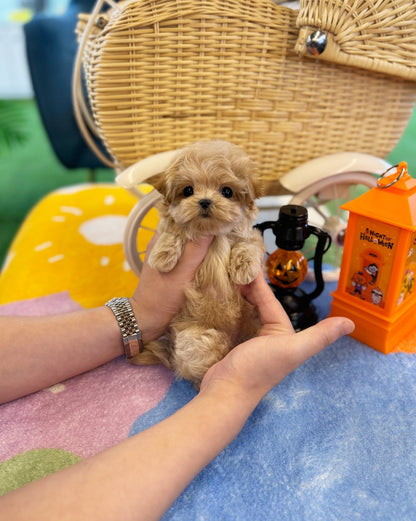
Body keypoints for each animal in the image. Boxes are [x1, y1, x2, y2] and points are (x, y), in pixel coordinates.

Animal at [131, 138, 264, 386]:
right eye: (188, 190)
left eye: (227, 191)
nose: (204, 201)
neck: (211, 233)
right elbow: (173, 231)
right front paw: (162, 255)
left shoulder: (250, 236)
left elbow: (250, 245)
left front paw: (243, 268)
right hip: (196, 338)